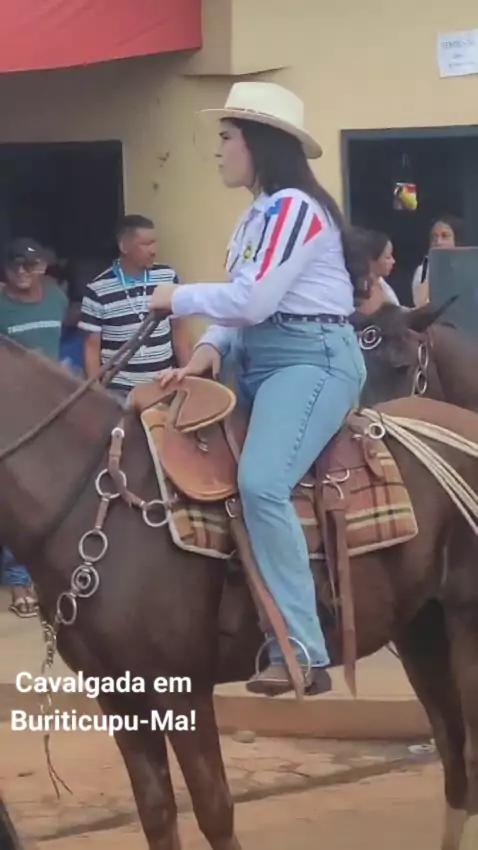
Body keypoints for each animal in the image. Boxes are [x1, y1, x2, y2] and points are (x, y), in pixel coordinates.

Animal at [2, 332, 478, 850]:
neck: (97, 502)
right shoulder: (117, 695)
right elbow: (156, 813)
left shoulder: (181, 689)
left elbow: (214, 811)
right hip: (422, 628)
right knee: (454, 754)